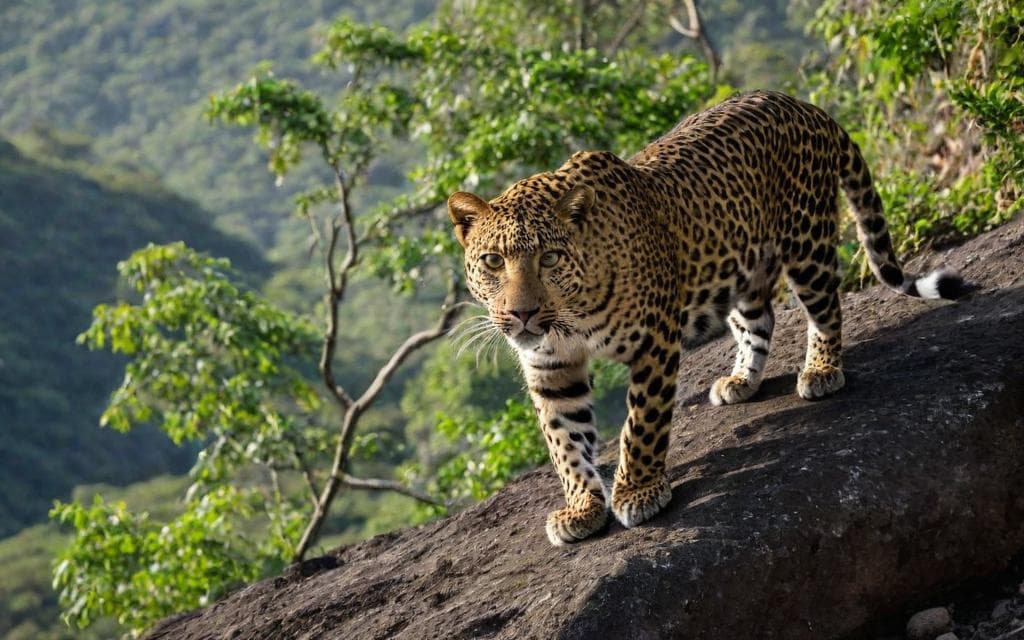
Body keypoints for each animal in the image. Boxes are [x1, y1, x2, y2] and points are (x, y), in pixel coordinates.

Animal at [447, 90, 967, 547]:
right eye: (493, 261)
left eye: (550, 258)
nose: (522, 314)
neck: (572, 312)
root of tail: (801, 103)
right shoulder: (551, 366)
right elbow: (565, 443)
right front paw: (581, 509)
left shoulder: (654, 343)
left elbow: (641, 426)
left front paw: (637, 493)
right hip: (742, 268)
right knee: (759, 320)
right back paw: (741, 381)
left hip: (807, 242)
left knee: (825, 310)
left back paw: (821, 371)